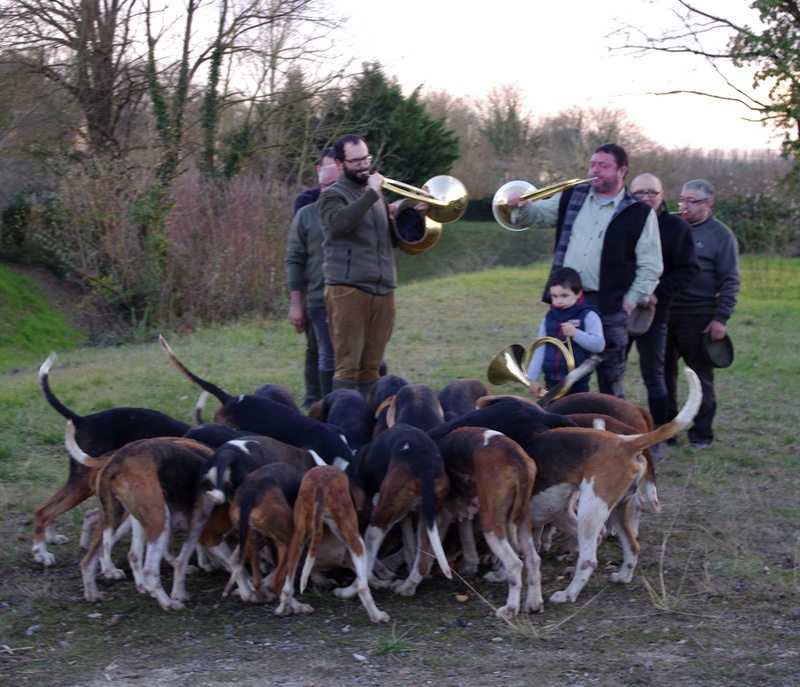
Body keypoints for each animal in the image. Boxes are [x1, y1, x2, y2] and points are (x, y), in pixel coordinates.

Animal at [34, 352, 192, 568]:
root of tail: (81, 419)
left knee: (49, 507)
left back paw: (51, 537)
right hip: (83, 484)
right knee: (43, 511)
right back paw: (41, 553)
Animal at [274, 468, 390, 624]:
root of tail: (320, 487)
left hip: (297, 542)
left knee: (287, 587)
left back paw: (284, 609)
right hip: (356, 540)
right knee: (362, 587)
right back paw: (377, 615)